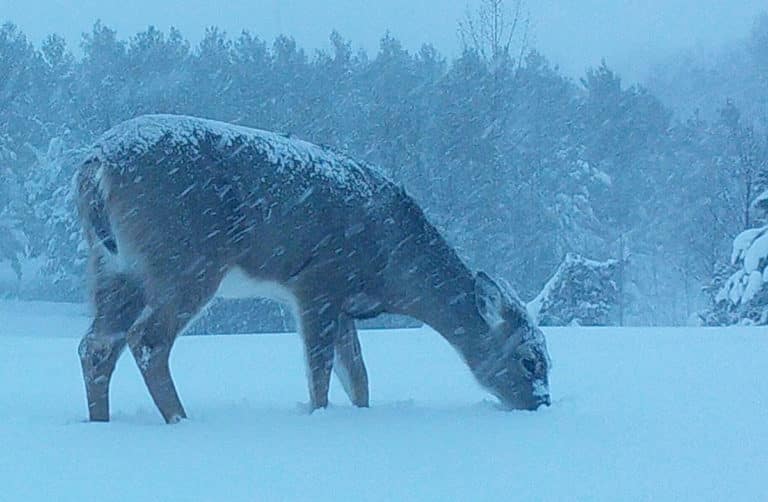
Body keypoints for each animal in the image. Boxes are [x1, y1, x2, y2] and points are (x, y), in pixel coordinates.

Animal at [78, 114, 552, 424]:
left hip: (113, 266)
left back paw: (101, 422)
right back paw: (180, 420)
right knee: (147, 340)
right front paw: (319, 419)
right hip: (185, 259)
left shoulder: (344, 302)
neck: (392, 264)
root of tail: (96, 163)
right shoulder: (318, 282)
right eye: (530, 360)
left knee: (97, 345)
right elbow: (321, 373)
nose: (542, 404)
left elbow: (358, 377)